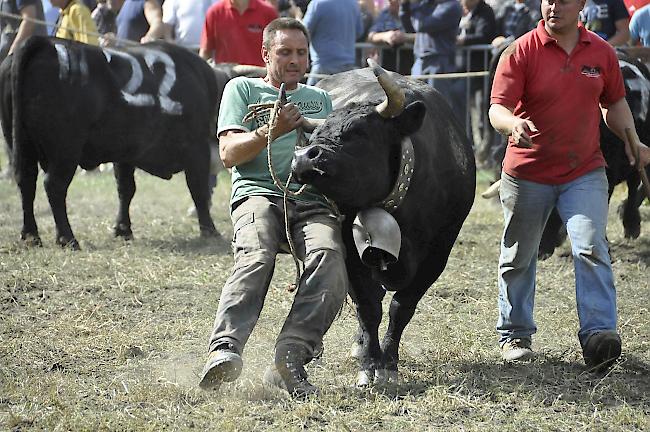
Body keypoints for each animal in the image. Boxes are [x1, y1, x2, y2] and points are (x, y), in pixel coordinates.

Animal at [0, 37, 260, 250]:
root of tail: (44, 43)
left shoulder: (124, 153)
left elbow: (126, 189)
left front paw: (123, 229)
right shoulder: (196, 150)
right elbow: (198, 190)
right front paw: (209, 230)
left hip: (20, 145)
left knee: (26, 182)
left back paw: (31, 235)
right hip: (66, 149)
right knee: (53, 186)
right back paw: (67, 238)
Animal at [292, 60, 474, 384]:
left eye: (358, 131)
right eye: (315, 134)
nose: (303, 156)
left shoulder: (438, 254)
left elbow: (402, 307)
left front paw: (389, 363)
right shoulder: (350, 251)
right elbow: (369, 307)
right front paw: (370, 364)